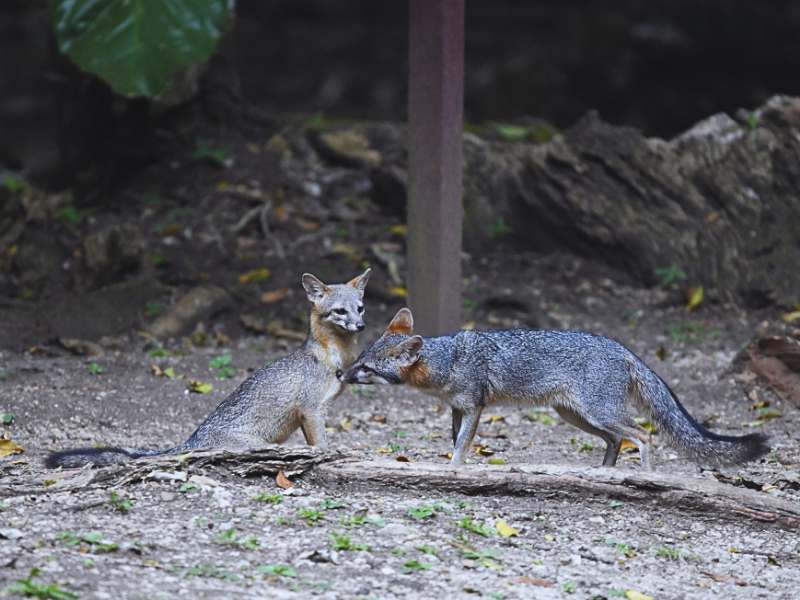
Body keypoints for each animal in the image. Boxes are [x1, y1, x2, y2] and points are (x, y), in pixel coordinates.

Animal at [45, 269, 371, 469]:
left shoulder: (319, 410)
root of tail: (192, 439)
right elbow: (321, 446)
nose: (361, 326)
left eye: (360, 309)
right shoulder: (310, 409)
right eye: (339, 311)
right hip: (263, 445)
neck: (332, 357)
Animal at [341, 308, 769, 469]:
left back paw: (644, 477)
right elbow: (454, 440)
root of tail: (622, 347)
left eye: (366, 368)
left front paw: (455, 468)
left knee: (643, 435)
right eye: (359, 358)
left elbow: (462, 444)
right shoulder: (457, 409)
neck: (450, 360)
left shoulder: (475, 408)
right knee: (617, 441)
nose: (341, 375)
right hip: (576, 416)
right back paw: (605, 475)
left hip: (598, 413)